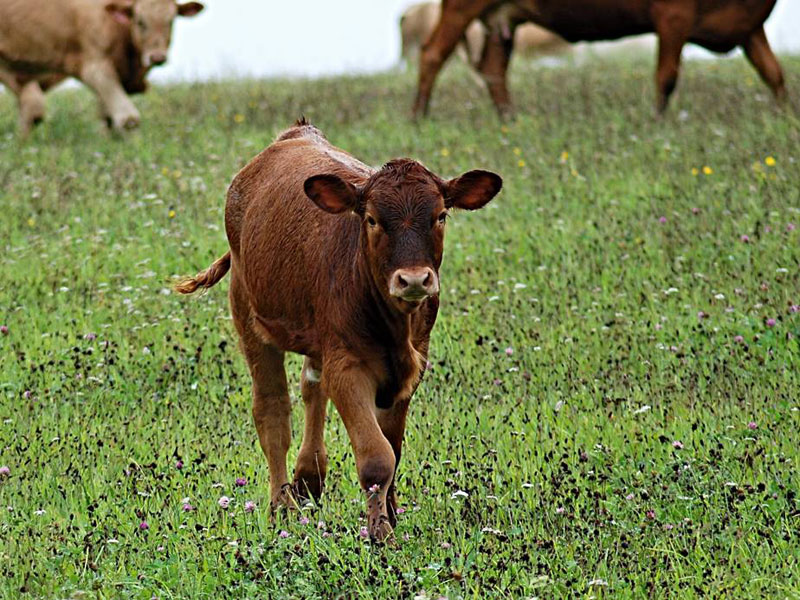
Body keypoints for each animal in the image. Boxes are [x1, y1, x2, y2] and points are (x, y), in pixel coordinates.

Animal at [0, 0, 203, 134]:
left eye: (171, 21)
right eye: (140, 21)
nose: (157, 57)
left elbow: (108, 118)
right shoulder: (95, 67)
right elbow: (128, 119)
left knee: (29, 108)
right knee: (33, 108)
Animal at [178, 119, 500, 540]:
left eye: (441, 215)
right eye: (372, 219)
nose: (414, 279)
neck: (394, 326)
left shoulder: (412, 365)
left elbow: (393, 447)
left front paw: (390, 513)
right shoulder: (348, 365)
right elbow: (377, 456)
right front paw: (380, 532)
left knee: (312, 387)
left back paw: (308, 477)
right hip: (248, 312)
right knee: (272, 410)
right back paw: (281, 504)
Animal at [416, 0, 784, 116]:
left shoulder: (750, 25)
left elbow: (773, 73)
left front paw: (785, 117)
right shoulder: (673, 15)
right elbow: (666, 77)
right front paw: (658, 122)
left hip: (501, 19)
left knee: (494, 70)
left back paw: (509, 119)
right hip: (461, 6)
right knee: (432, 54)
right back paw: (419, 117)